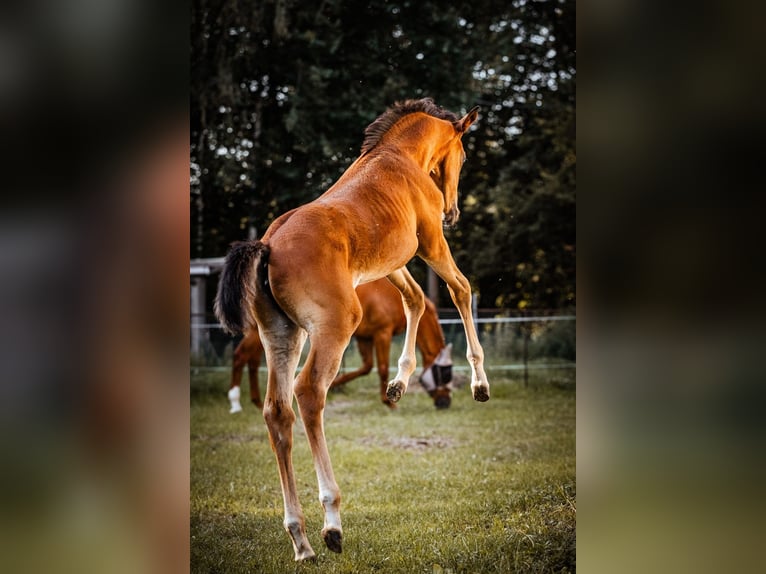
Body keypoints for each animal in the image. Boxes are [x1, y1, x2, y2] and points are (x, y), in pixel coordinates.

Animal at [228, 280, 456, 414]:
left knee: (253, 361)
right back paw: (236, 403)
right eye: (445, 373)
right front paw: (389, 401)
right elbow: (381, 368)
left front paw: (336, 384)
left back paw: (258, 402)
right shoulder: (382, 334)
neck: (393, 297)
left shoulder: (364, 338)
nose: (445, 403)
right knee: (240, 356)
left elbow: (365, 367)